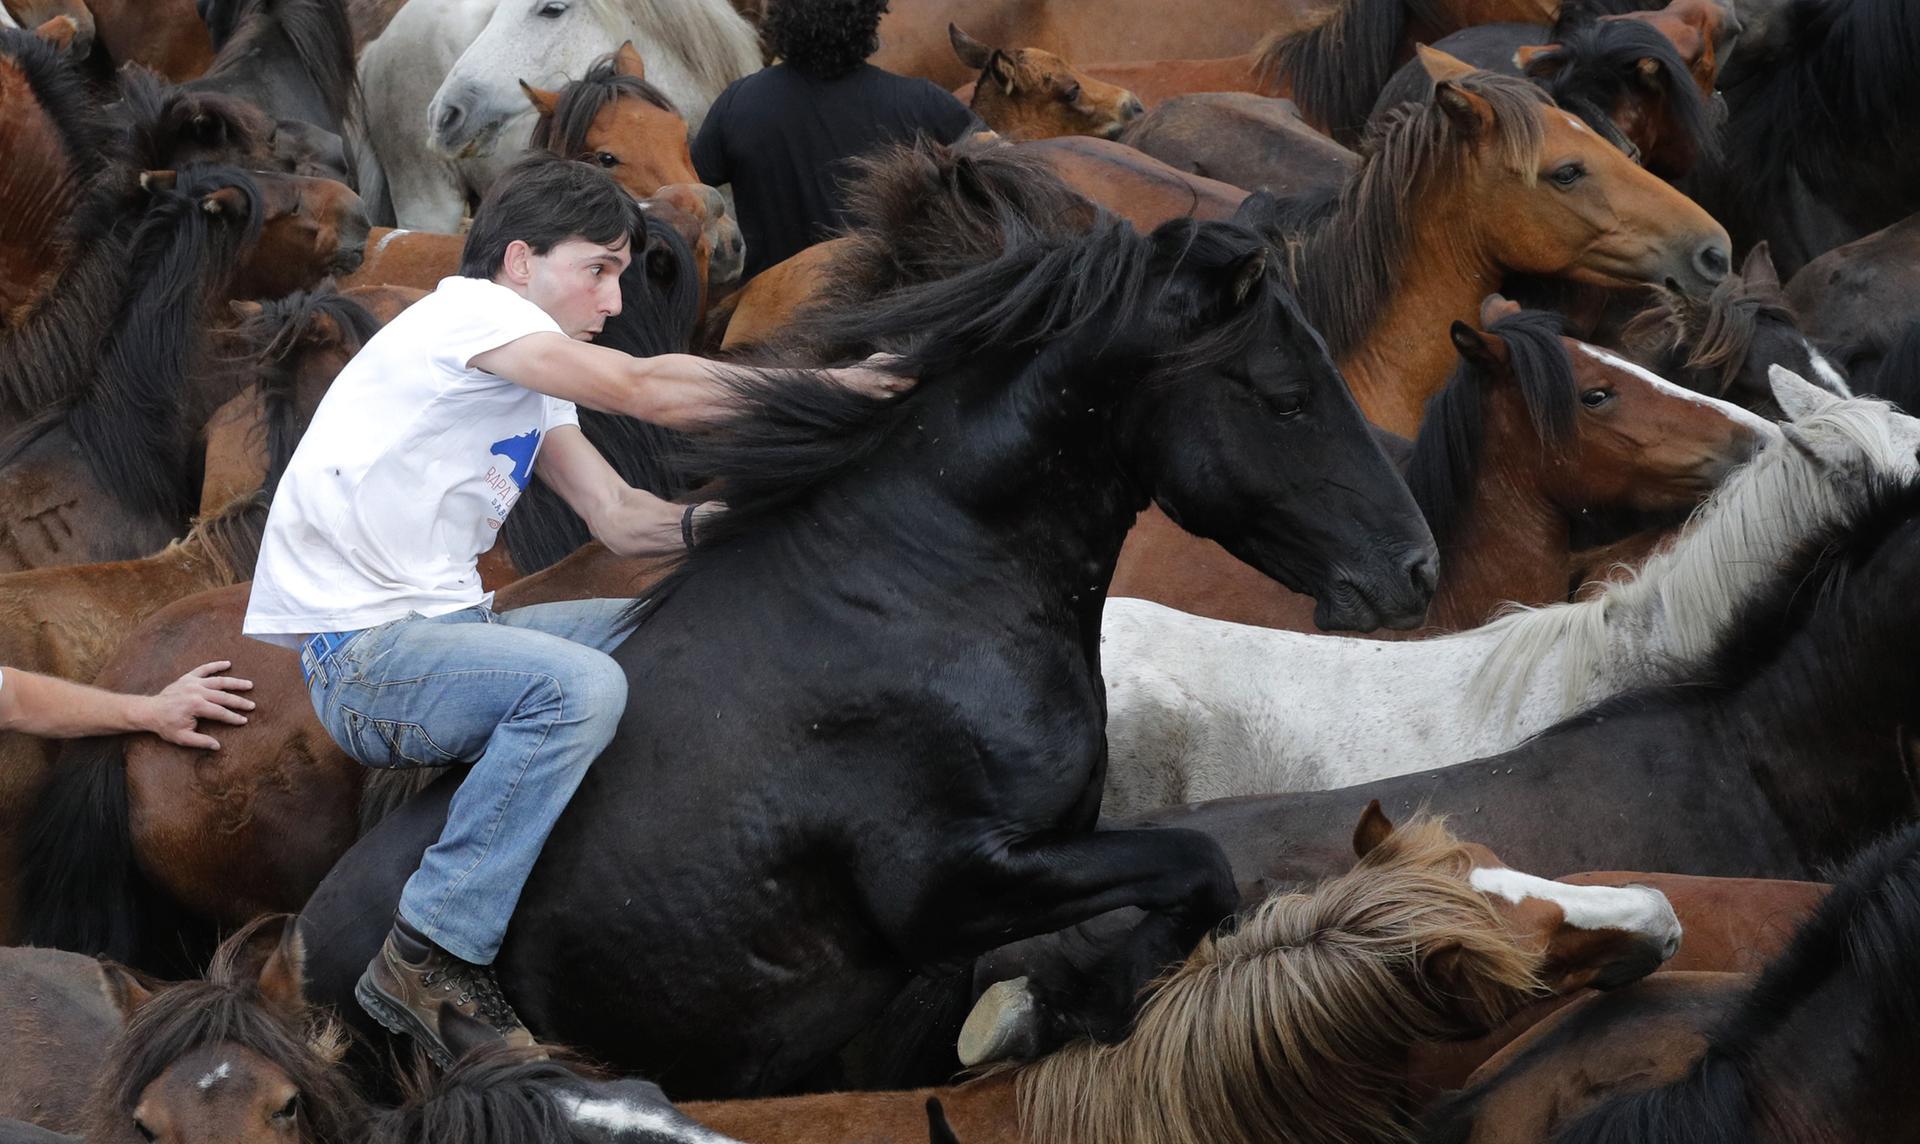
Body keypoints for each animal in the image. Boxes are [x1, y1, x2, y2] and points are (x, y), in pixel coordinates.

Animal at [299, 185, 1443, 1090]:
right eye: (1286, 397)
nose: (1418, 568)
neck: (927, 591)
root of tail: (292, 950)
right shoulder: (952, 887)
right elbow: (1199, 863)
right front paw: (1048, 1012)